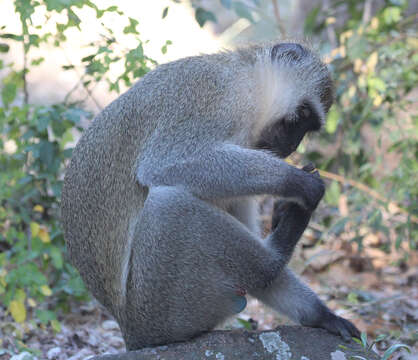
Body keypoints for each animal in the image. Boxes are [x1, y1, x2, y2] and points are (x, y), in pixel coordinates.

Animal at [61, 41, 360, 348]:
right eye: (300, 117)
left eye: (307, 126)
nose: (292, 145)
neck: (249, 81)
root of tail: (131, 332)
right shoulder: (217, 99)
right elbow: (162, 163)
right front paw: (299, 183)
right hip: (162, 306)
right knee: (171, 204)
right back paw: (277, 253)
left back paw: (316, 312)